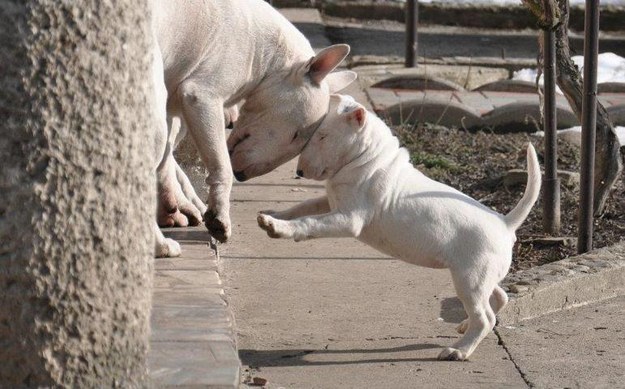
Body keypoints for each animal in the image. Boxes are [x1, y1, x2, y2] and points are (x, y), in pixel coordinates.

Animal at [256, 94, 540, 360]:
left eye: (323, 136)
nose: (300, 172)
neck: (366, 159)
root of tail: (505, 223)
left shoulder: (349, 218)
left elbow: (310, 222)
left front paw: (278, 228)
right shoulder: (329, 201)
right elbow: (303, 206)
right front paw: (272, 215)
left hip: (470, 278)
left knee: (486, 317)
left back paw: (459, 350)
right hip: (478, 276)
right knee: (499, 297)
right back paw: (464, 326)